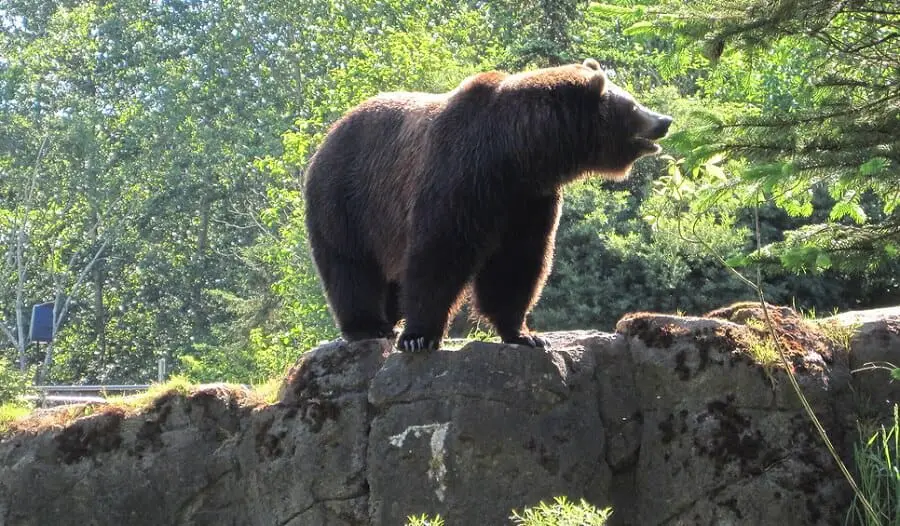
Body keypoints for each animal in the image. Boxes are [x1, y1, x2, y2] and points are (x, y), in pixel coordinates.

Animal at [303, 58, 673, 352]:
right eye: (633, 106)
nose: (664, 120)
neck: (514, 154)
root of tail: (329, 135)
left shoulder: (527, 200)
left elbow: (516, 263)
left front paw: (524, 334)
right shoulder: (459, 179)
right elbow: (439, 253)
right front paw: (419, 336)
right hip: (345, 198)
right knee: (350, 266)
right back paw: (368, 325)